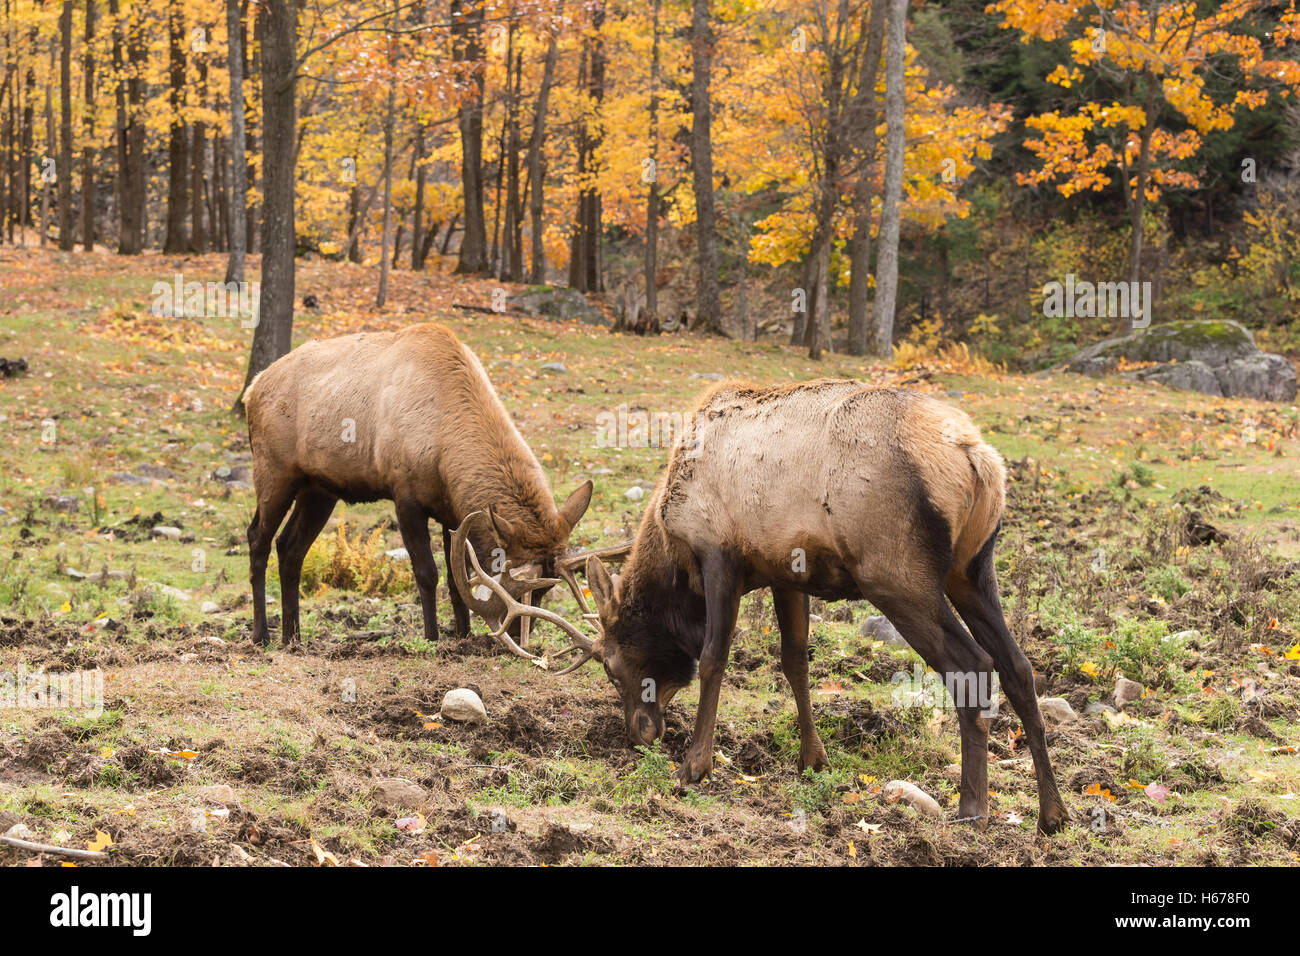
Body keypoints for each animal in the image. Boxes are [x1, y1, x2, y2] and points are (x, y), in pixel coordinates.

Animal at [240, 323, 595, 650]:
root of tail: (252, 389)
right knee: (258, 537)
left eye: (546, 589)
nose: (523, 638)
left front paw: (463, 636)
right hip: (274, 471)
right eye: (517, 588)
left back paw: (293, 637)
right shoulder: (405, 495)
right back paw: (262, 635)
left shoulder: (454, 513)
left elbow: (457, 580)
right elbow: (427, 573)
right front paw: (432, 637)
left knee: (290, 547)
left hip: (319, 489)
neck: (445, 451)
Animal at [483, 377, 1071, 832]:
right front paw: (812, 758)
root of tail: (979, 460)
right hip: (971, 568)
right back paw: (1052, 814)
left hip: (898, 576)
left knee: (974, 665)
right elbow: (795, 661)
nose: (640, 733)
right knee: (1019, 666)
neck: (673, 551)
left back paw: (972, 809)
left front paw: (693, 767)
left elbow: (713, 658)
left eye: (610, 665)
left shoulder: (720, 555)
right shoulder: (786, 573)